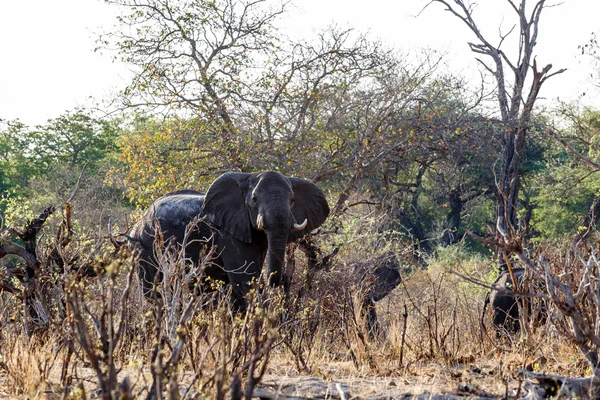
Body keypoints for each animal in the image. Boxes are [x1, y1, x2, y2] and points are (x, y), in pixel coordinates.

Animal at [128, 170, 330, 308]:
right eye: (254, 199)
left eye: (293, 200)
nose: (278, 282)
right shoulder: (228, 233)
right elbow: (246, 278)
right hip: (146, 245)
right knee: (154, 291)